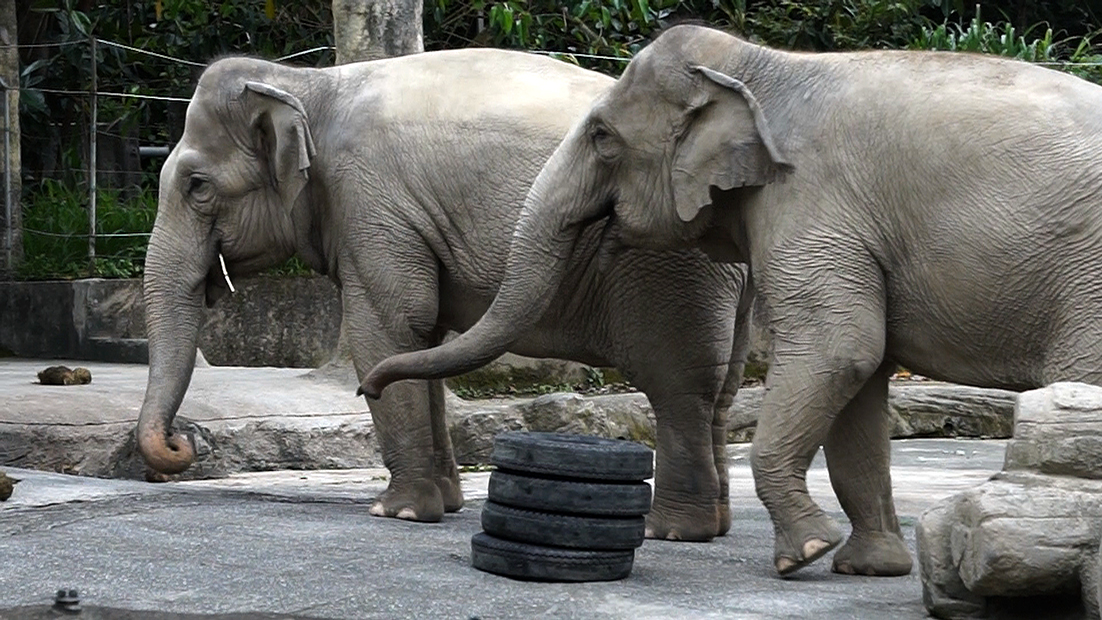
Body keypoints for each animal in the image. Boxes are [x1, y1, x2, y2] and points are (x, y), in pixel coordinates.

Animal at [135, 47, 752, 542]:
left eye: (196, 186)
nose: (183, 444)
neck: (308, 82)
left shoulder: (370, 204)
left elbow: (387, 330)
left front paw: (398, 513)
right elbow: (422, 339)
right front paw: (445, 505)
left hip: (670, 267)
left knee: (679, 388)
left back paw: (673, 531)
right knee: (721, 391)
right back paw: (717, 524)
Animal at [362, 24, 1102, 578]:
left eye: (602, 137)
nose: (368, 384)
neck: (764, 65)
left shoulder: (812, 202)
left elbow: (839, 350)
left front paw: (804, 554)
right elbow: (861, 378)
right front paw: (867, 567)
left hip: (1087, 278)